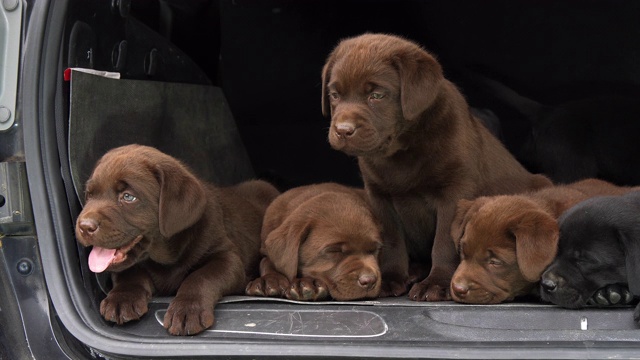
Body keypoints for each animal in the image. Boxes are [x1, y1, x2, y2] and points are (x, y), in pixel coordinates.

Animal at [74, 145, 278, 336]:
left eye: (128, 197)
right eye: (89, 194)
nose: (84, 226)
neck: (165, 256)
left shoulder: (227, 258)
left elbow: (201, 276)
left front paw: (187, 310)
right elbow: (128, 273)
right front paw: (121, 299)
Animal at [246, 183, 382, 300]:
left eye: (374, 250)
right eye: (334, 251)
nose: (369, 281)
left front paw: (305, 284)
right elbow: (266, 261)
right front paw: (269, 281)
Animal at [322, 33, 552, 300]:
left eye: (377, 95)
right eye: (335, 95)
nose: (343, 130)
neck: (402, 149)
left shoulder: (454, 191)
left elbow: (444, 242)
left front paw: (437, 283)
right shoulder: (378, 194)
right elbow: (391, 239)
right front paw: (390, 278)